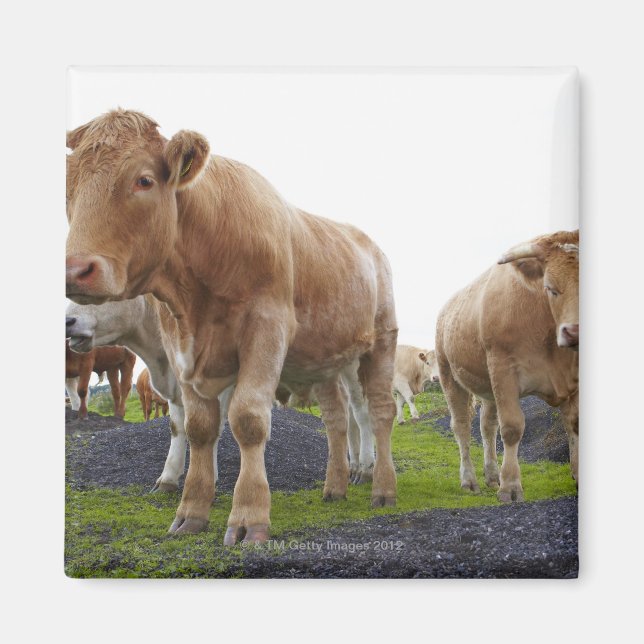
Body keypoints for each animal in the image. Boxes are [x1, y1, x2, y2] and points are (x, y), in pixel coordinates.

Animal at [435, 230, 579, 502]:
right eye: (550, 288)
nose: (574, 332)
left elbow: (574, 424)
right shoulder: (504, 370)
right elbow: (512, 427)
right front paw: (510, 486)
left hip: (488, 385)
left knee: (487, 426)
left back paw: (492, 476)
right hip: (450, 376)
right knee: (461, 426)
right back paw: (469, 480)